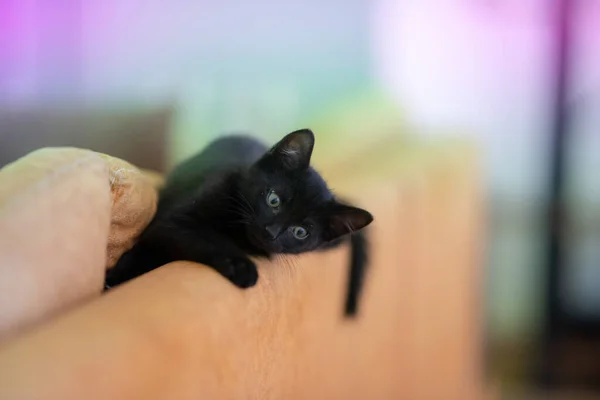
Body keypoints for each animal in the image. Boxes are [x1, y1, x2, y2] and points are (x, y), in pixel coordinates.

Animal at [105, 130, 372, 314]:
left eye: (300, 232)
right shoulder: (173, 222)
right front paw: (241, 267)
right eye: (274, 199)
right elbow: (205, 237)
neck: (238, 234)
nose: (271, 231)